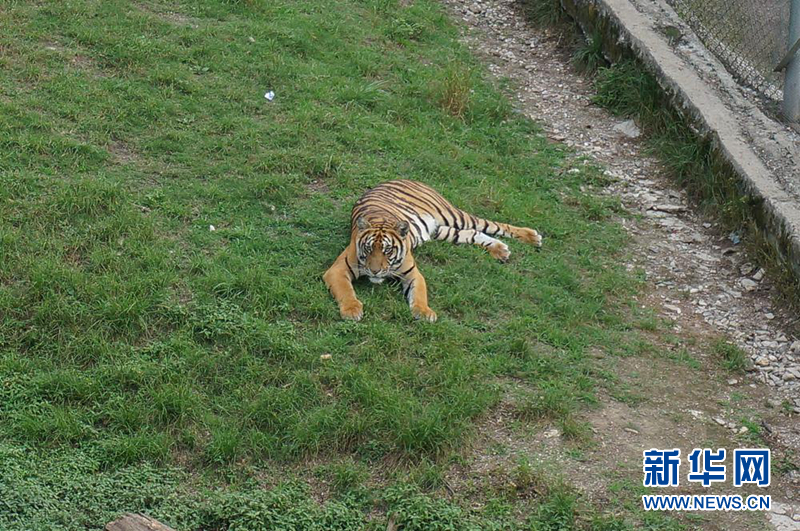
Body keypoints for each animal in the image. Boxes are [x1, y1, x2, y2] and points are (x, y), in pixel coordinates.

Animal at [322, 179, 540, 322]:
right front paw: (352, 310)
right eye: (368, 249)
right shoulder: (337, 270)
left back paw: (532, 236)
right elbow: (346, 291)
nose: (375, 271)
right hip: (444, 231)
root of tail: (403, 178)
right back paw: (500, 250)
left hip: (454, 216)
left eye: (387, 250)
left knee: (492, 224)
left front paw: (425, 313)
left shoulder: (413, 274)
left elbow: (419, 295)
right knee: (474, 233)